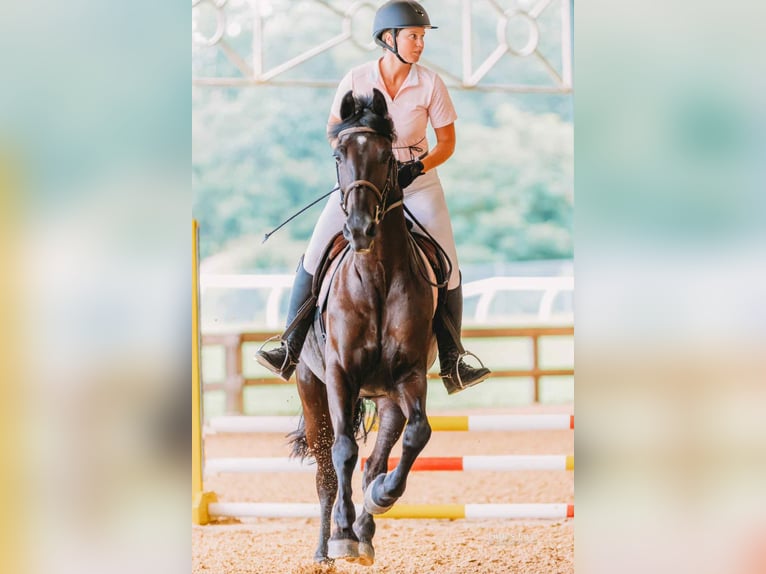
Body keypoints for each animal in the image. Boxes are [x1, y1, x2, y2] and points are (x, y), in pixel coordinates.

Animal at [289, 88, 438, 566]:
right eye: (338, 155)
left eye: (386, 157)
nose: (359, 229)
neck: (376, 275)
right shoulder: (339, 374)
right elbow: (342, 450)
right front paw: (341, 534)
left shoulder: (409, 374)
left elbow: (417, 434)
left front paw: (381, 499)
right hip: (311, 386)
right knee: (325, 469)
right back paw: (327, 546)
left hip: (387, 396)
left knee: (378, 457)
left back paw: (367, 526)